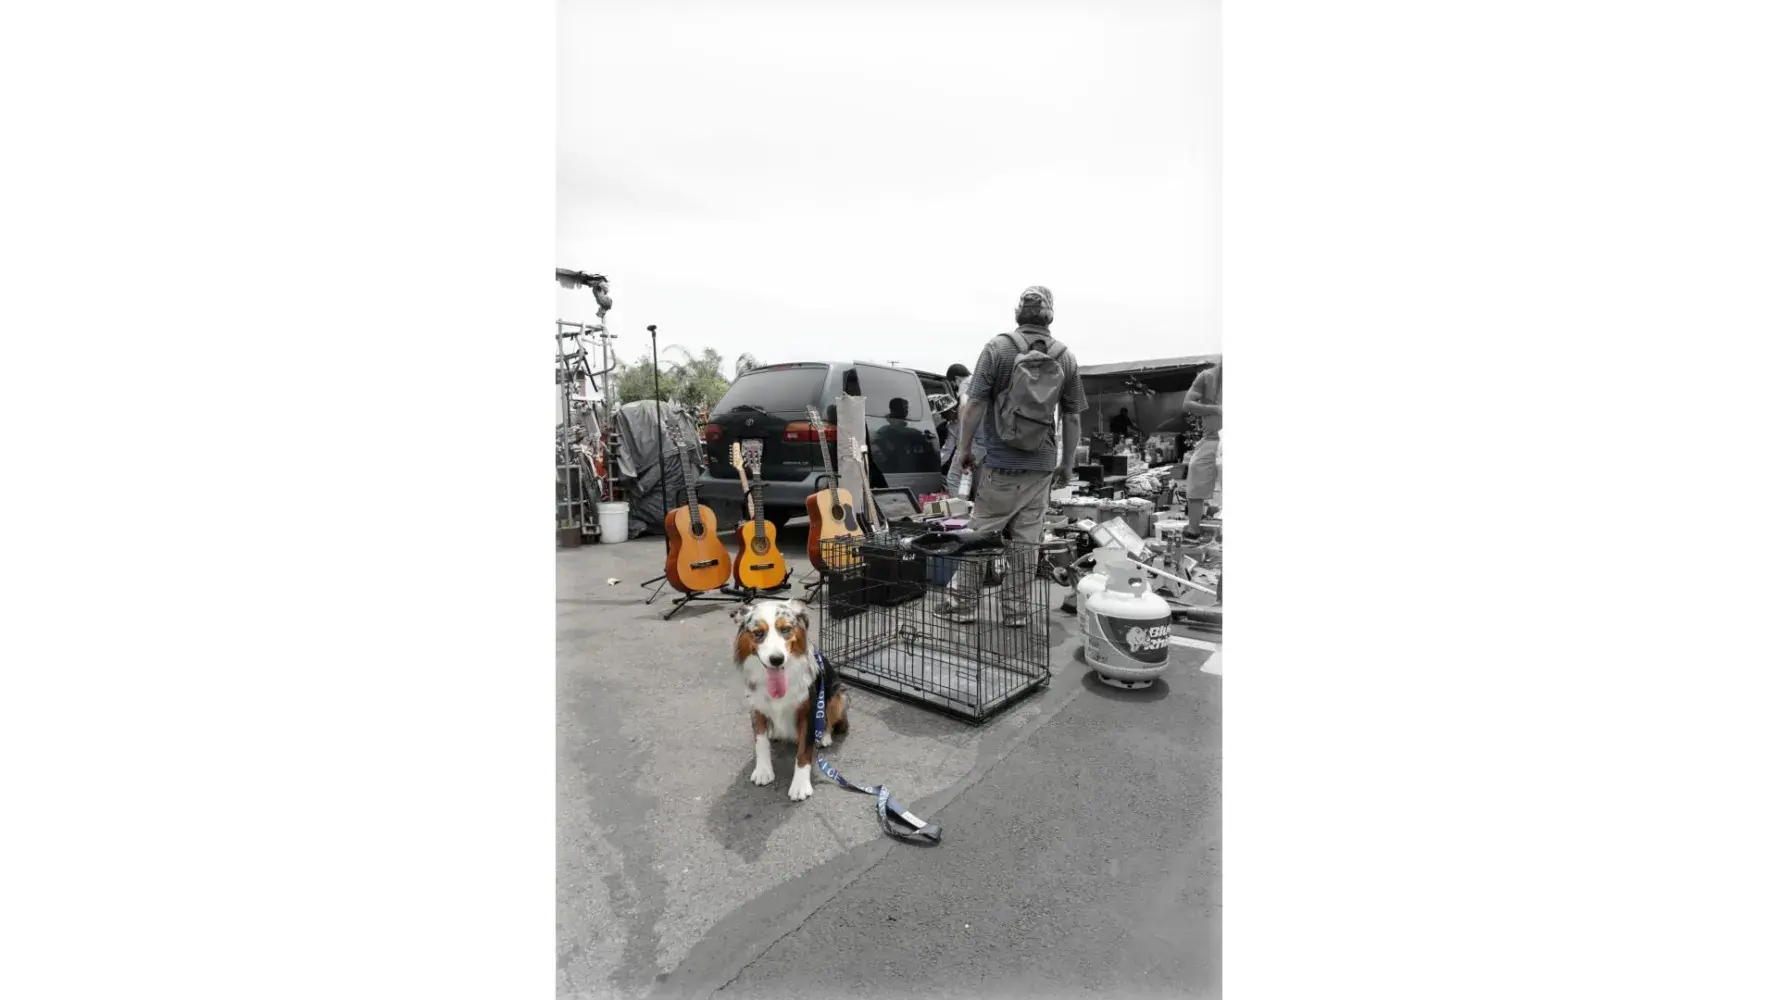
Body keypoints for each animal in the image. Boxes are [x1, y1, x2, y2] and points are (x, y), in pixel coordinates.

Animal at [730, 598, 848, 802]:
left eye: (785, 629)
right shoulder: (756, 706)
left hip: (837, 695)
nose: (776, 659)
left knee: (829, 720)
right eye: (758, 633)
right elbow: (760, 742)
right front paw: (763, 771)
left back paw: (824, 736)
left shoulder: (809, 709)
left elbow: (804, 751)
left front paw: (800, 786)